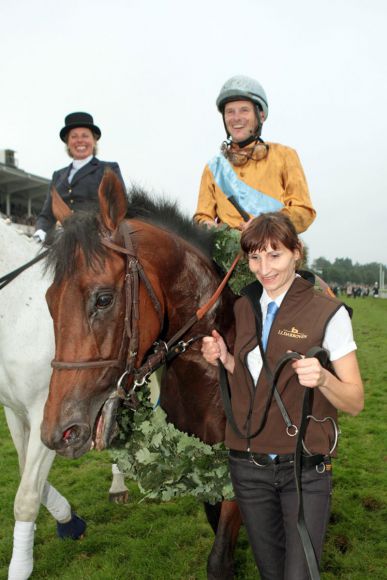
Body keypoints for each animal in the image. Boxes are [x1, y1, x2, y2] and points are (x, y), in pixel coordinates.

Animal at [0, 219, 127, 580]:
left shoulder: (48, 412)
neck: (16, 310)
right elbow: (25, 472)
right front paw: (68, 519)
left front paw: (20, 567)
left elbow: (26, 496)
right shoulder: (14, 410)